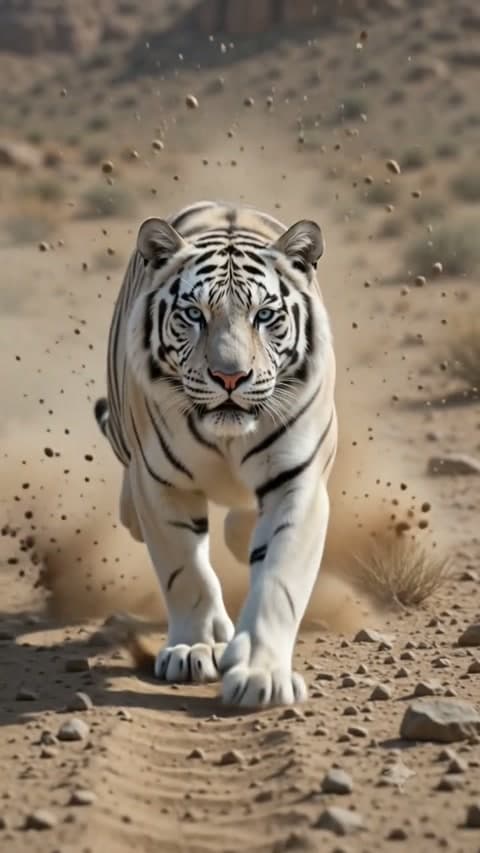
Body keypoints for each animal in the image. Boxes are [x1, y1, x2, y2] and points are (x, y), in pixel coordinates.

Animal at [94, 200, 337, 708]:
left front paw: (262, 674)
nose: (230, 377)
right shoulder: (161, 484)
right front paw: (197, 648)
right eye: (194, 314)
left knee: (240, 530)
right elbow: (186, 571)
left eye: (264, 315)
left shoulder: (298, 481)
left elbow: (279, 578)